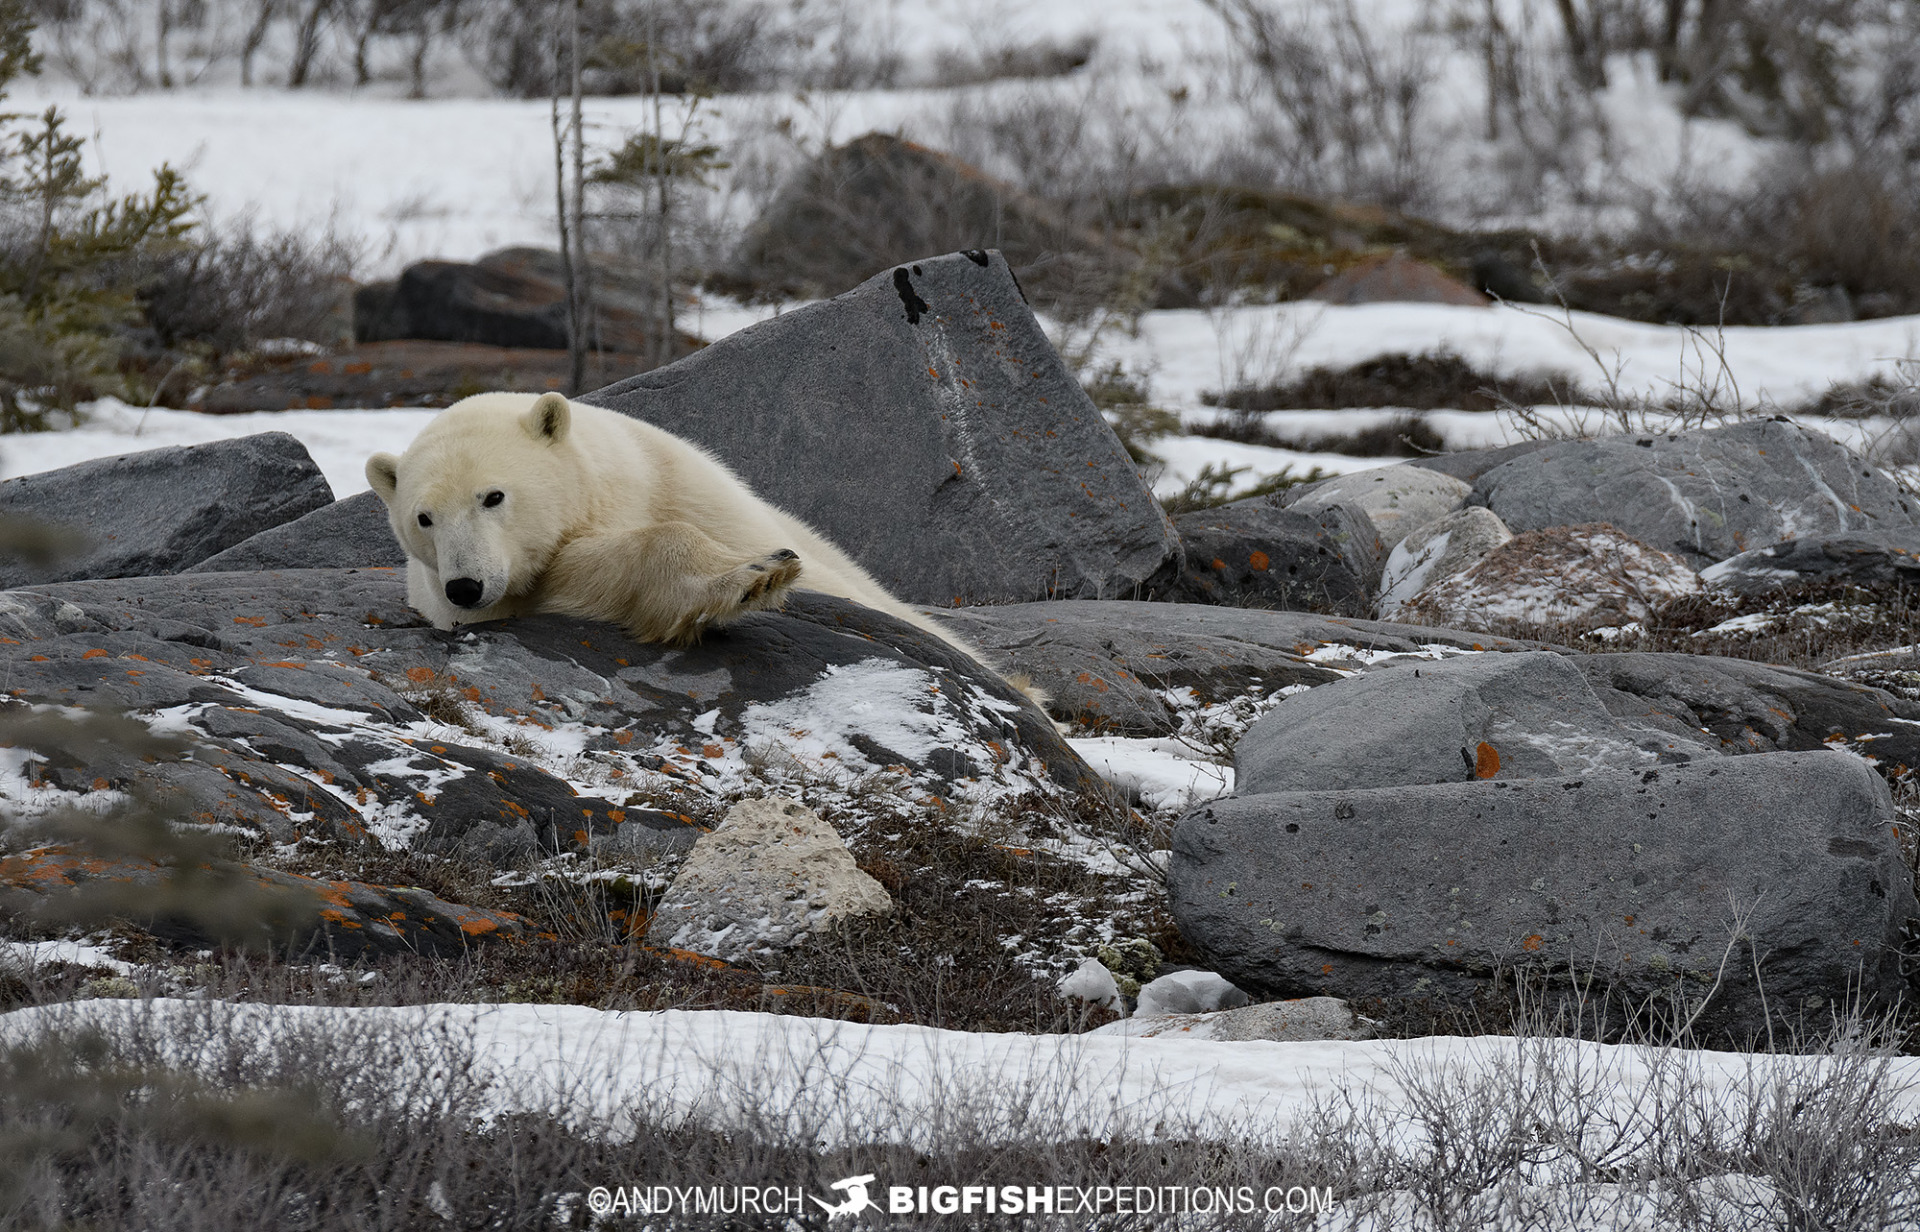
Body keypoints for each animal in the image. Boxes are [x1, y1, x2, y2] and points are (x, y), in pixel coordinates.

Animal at [364, 390, 985, 656]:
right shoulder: (505, 600)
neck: (615, 494)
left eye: (493, 496)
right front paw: (748, 578)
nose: (465, 586)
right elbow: (585, 573)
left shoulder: (682, 481)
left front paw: (764, 567)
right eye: (424, 518)